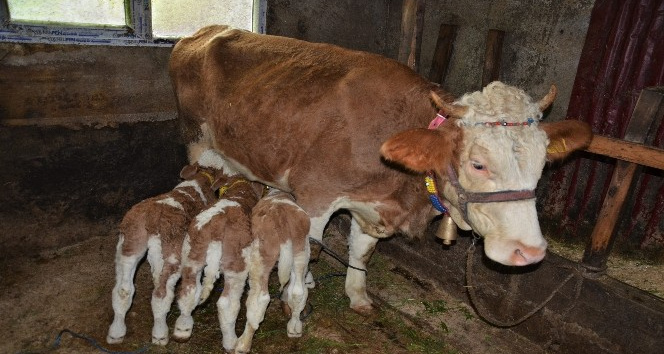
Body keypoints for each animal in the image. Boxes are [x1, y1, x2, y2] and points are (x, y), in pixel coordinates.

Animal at [107, 150, 233, 346]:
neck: (199, 180)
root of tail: (151, 217)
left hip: (127, 247)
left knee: (122, 290)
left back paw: (116, 332)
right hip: (171, 255)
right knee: (161, 294)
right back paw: (160, 333)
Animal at [169, 24, 592, 316]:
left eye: (541, 165)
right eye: (478, 163)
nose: (529, 252)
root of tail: (207, 30)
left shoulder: (373, 207)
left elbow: (362, 252)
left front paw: (358, 296)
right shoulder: (316, 194)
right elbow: (308, 250)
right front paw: (295, 299)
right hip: (195, 138)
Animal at [172, 173, 266, 350]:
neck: (240, 192)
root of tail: (213, 227)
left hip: (191, 256)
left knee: (188, 291)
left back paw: (182, 330)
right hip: (236, 265)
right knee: (227, 303)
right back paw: (231, 342)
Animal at [236, 188, 312, 352]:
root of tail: (282, 219)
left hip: (260, 257)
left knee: (259, 300)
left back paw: (243, 344)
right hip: (301, 252)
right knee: (298, 292)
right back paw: (294, 328)